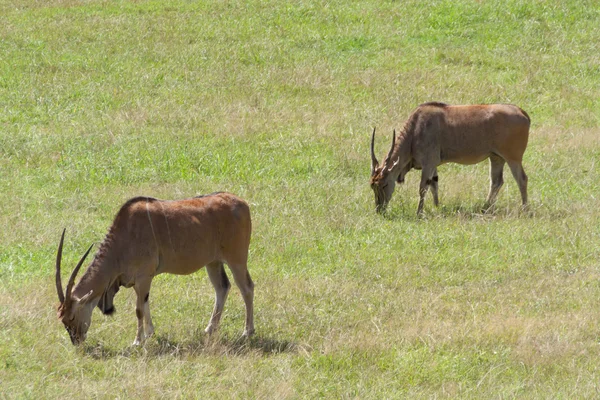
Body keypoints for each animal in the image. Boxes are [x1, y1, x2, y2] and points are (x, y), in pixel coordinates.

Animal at [52, 192, 254, 346]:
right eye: (62, 319)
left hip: (237, 260)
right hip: (213, 263)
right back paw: (210, 329)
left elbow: (139, 309)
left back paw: (247, 332)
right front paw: (150, 333)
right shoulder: (138, 281)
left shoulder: (144, 277)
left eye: (71, 317)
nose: (76, 341)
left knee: (246, 288)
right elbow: (145, 304)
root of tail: (241, 203)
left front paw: (137, 341)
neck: (123, 239)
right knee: (222, 287)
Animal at [370, 103, 528, 216]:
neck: (415, 130)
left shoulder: (428, 163)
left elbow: (423, 188)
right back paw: (485, 208)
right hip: (496, 157)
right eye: (373, 186)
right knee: (496, 182)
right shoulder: (433, 165)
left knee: (521, 179)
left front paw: (419, 212)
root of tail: (522, 112)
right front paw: (437, 207)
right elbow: (434, 185)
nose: (379, 209)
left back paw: (525, 209)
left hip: (513, 158)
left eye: (384, 185)